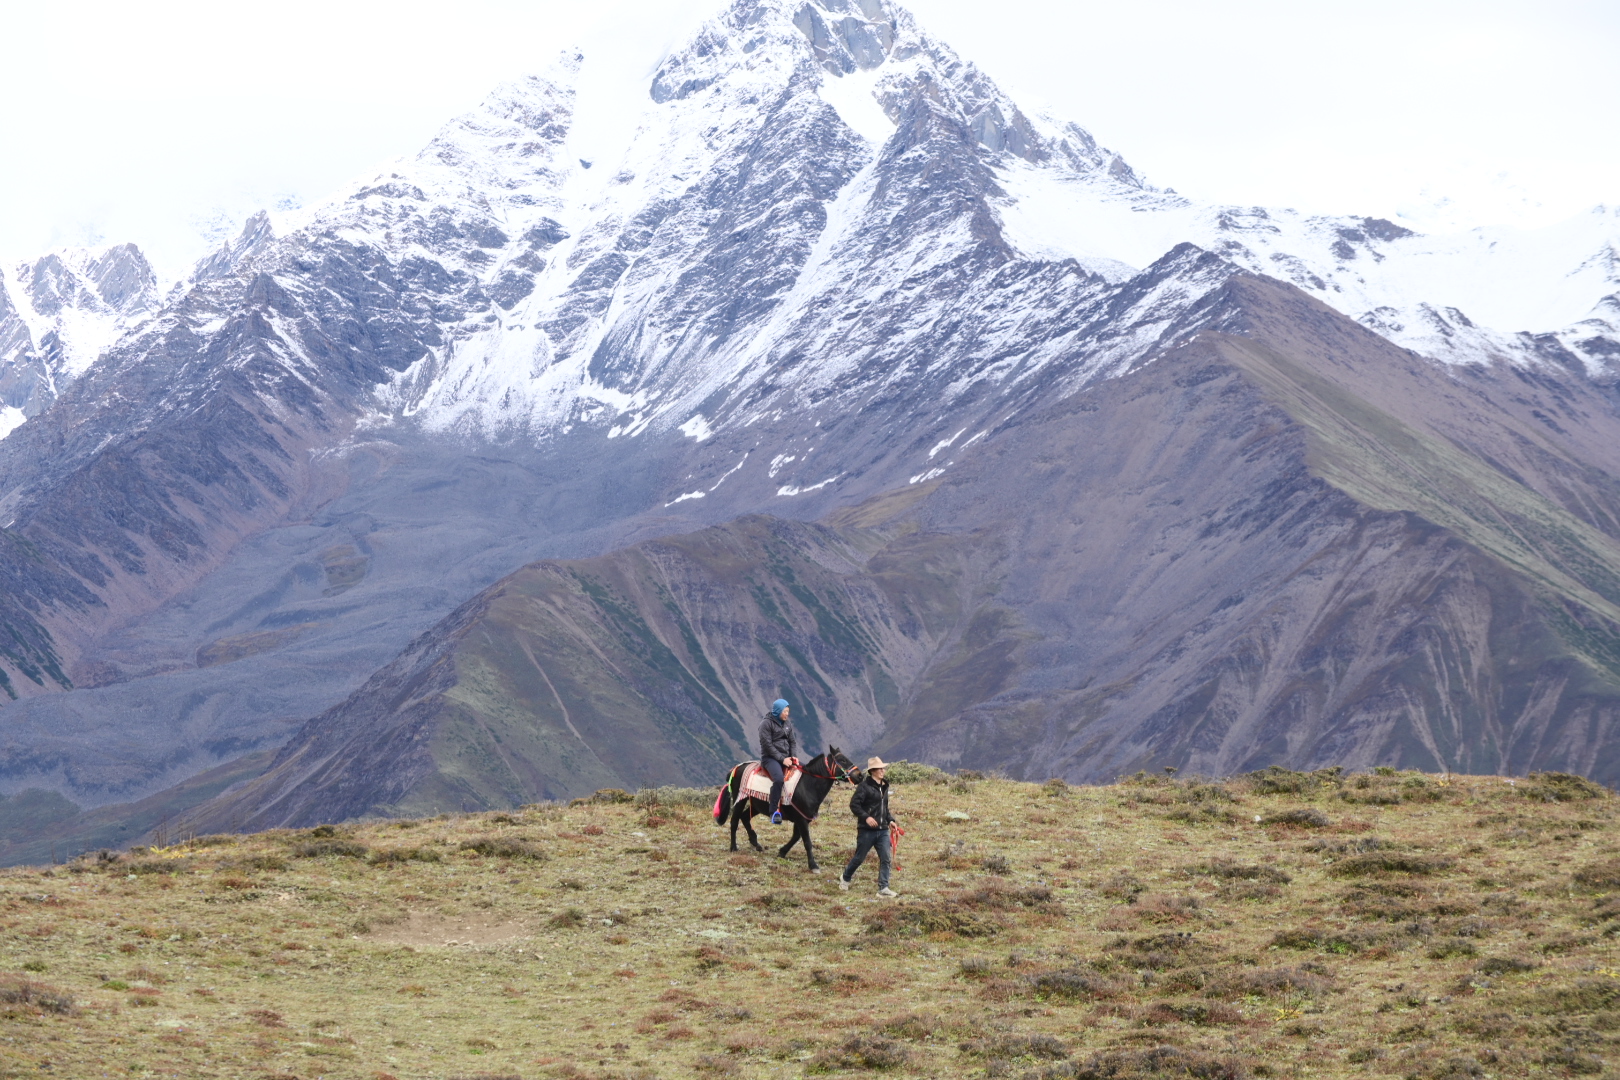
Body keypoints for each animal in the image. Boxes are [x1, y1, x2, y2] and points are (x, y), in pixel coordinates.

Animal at [712, 748, 861, 874]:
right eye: (842, 760)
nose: (859, 776)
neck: (808, 786)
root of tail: (735, 769)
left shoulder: (802, 818)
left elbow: (796, 837)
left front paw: (782, 852)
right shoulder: (801, 819)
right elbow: (807, 841)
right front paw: (813, 865)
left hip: (756, 805)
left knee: (744, 817)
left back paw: (756, 844)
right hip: (740, 799)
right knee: (734, 821)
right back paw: (733, 847)